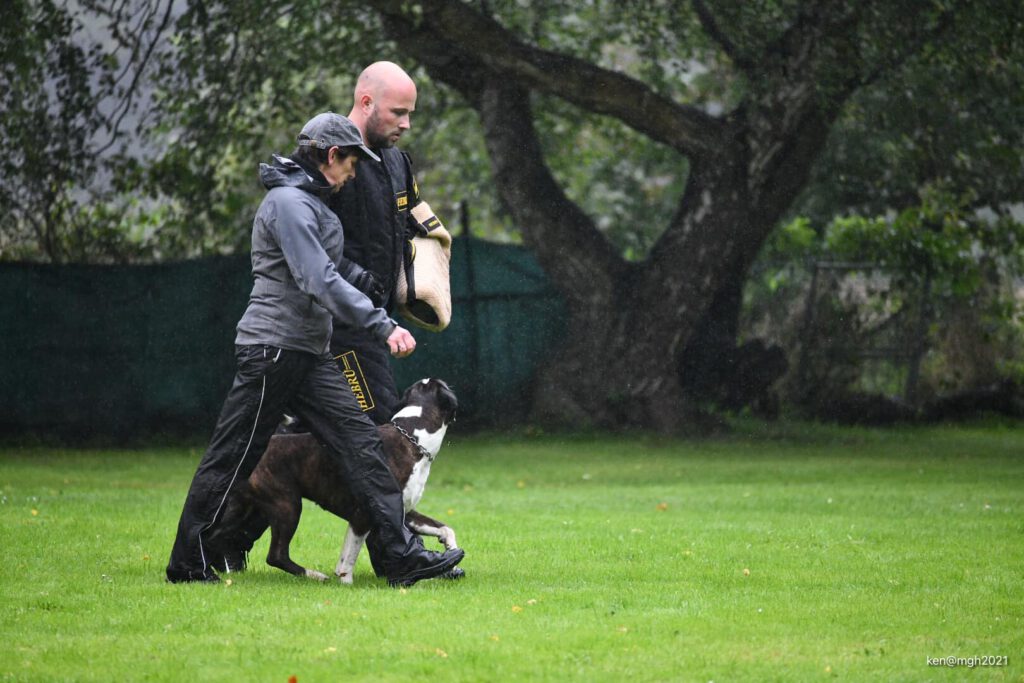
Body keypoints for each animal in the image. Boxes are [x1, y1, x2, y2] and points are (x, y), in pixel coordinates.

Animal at [211, 378, 460, 581]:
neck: (412, 436)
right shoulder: (363, 515)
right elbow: (349, 555)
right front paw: (346, 582)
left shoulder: (404, 513)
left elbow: (445, 528)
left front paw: (451, 551)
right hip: (287, 506)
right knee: (276, 555)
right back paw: (314, 575)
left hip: (244, 508)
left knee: (217, 533)